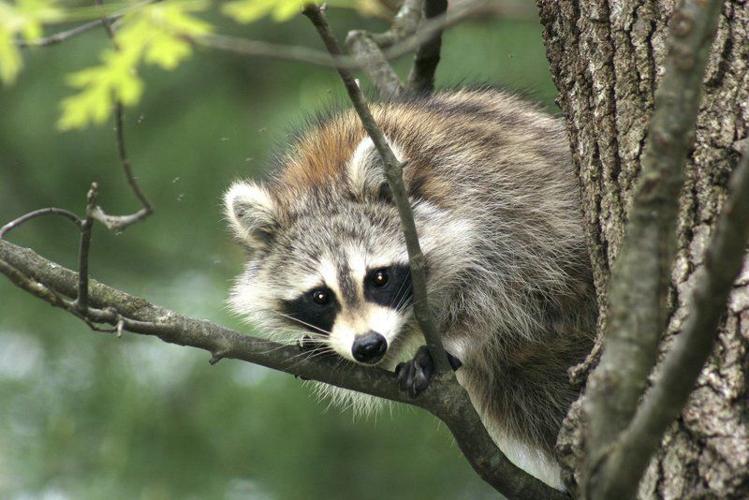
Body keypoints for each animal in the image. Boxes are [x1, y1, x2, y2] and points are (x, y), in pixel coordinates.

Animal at [224, 88, 596, 490]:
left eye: (379, 278)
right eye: (321, 297)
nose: (368, 346)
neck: (321, 178)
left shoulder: (500, 207)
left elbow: (503, 284)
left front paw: (452, 337)